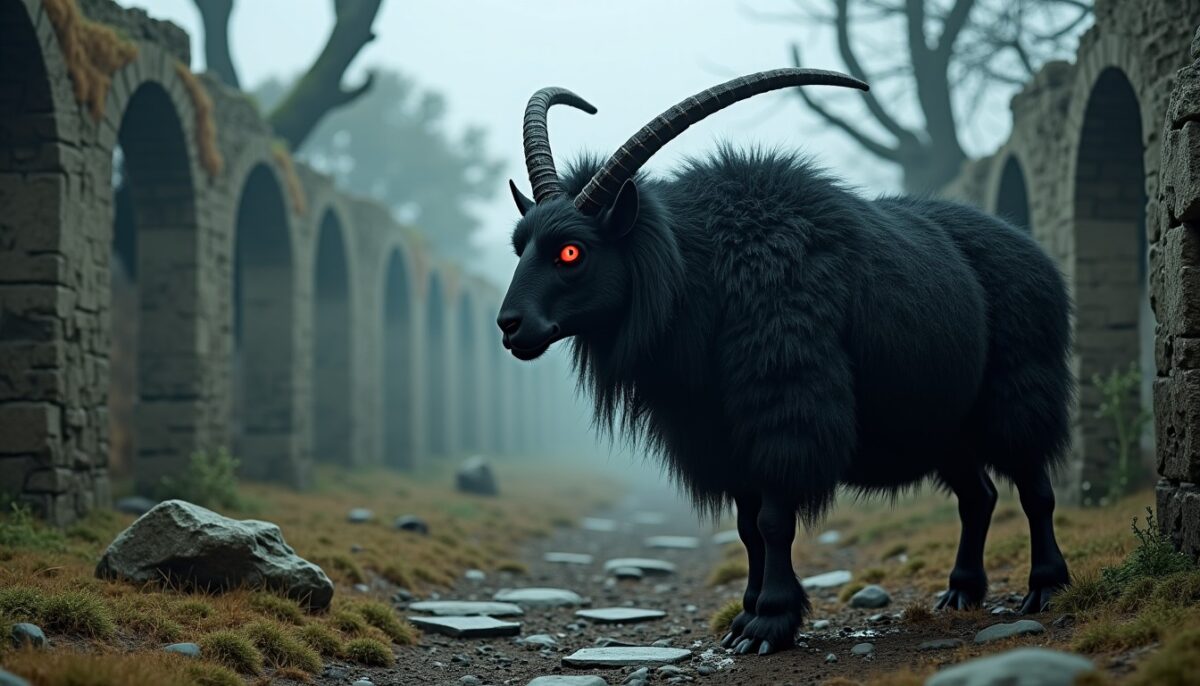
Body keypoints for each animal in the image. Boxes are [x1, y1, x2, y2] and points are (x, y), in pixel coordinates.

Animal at [496, 68, 1073, 655]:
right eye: (521, 246)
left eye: (572, 251)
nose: (510, 326)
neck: (708, 270)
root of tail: (1034, 252)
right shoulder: (724, 437)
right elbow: (748, 527)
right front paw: (746, 615)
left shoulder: (784, 414)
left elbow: (774, 521)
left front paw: (769, 622)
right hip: (946, 427)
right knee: (978, 497)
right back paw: (961, 592)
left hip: (1017, 394)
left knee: (1035, 490)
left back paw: (1046, 588)